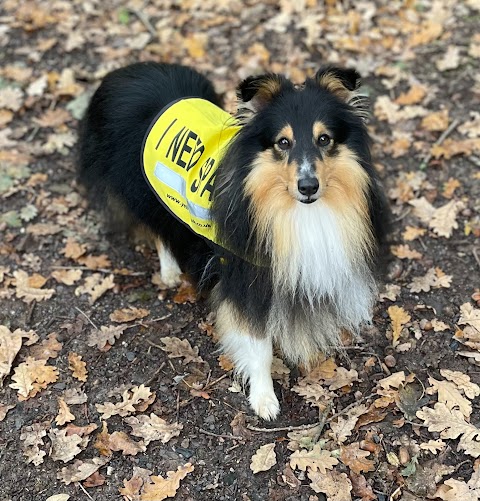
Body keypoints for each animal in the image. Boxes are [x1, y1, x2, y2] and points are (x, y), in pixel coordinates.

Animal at [77, 63, 388, 422]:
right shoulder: (245, 281)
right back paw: (169, 271)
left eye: (324, 139)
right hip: (141, 191)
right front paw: (264, 398)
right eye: (283, 142)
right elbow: (259, 346)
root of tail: (128, 71)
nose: (308, 186)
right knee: (157, 229)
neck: (289, 210)